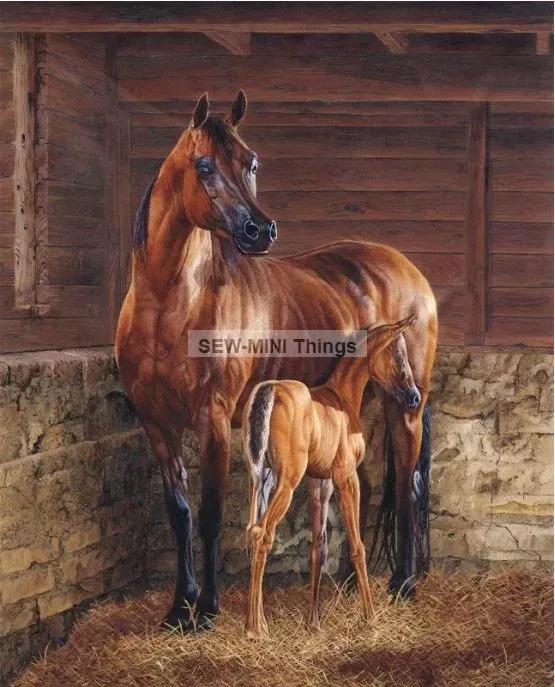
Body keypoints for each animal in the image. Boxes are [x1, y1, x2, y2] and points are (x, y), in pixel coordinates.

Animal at [243, 316, 418, 637]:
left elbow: (319, 546)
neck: (342, 397)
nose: (414, 396)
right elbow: (357, 546)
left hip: (262, 479)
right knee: (263, 533)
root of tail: (271, 389)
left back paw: (260, 623)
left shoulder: (319, 482)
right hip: (286, 482)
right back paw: (254, 629)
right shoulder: (346, 478)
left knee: (252, 530)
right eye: (397, 351)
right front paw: (370, 617)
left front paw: (314, 623)